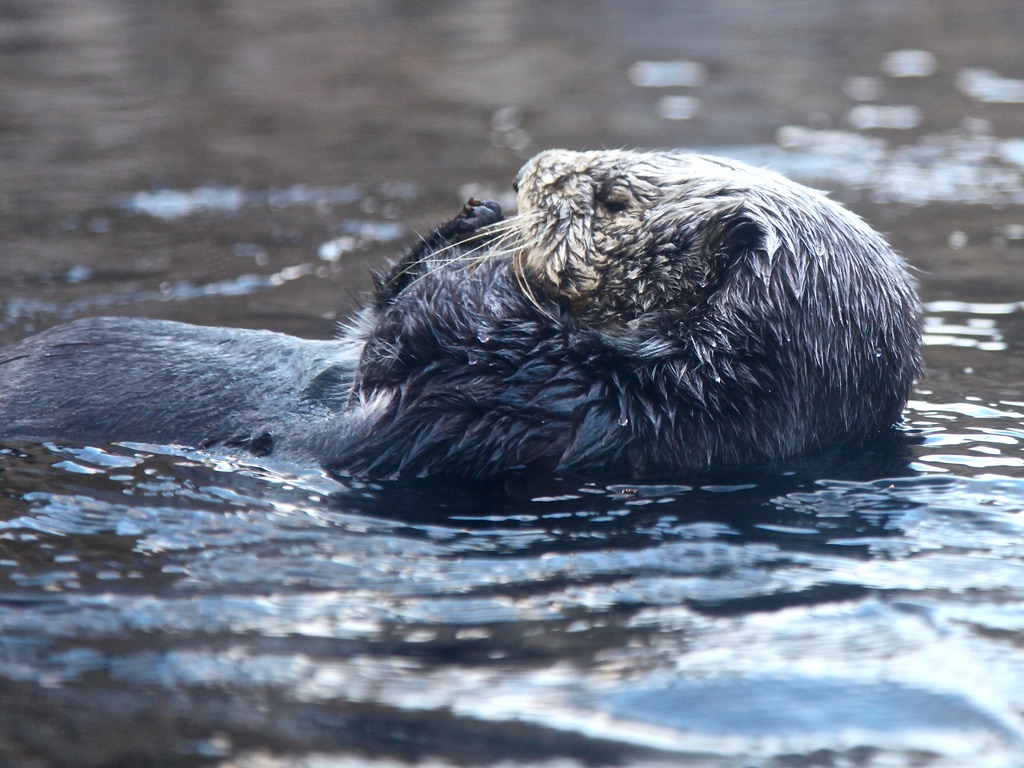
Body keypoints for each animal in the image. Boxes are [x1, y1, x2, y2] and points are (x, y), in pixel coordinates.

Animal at [0, 150, 921, 478]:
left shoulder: (554, 416)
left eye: (614, 198)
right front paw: (470, 222)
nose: (531, 168)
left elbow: (408, 357)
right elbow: (373, 325)